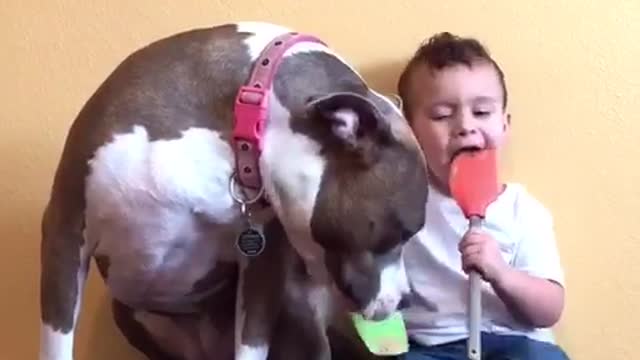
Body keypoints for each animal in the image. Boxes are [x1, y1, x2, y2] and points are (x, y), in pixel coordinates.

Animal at [40, 21, 430, 358]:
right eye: (404, 232)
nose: (407, 299)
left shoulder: (262, 264)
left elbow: (251, 341)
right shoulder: (66, 233)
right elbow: (56, 342)